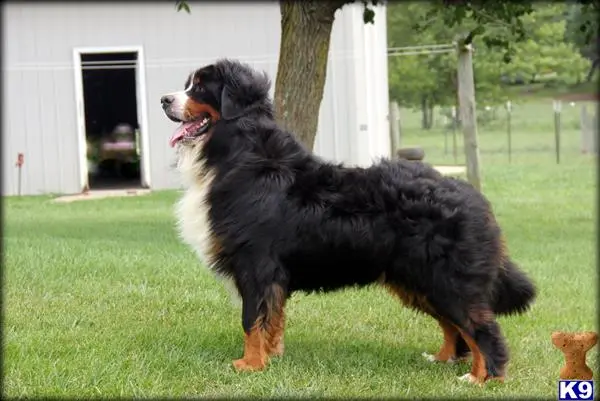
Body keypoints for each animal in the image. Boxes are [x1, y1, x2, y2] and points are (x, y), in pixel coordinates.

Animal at [159, 58, 536, 382]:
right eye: (188, 84)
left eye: (200, 87)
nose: (164, 99)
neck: (240, 153)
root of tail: (475, 198)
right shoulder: (272, 275)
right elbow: (273, 320)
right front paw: (272, 357)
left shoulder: (256, 264)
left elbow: (252, 320)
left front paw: (250, 364)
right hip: (420, 280)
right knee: (454, 327)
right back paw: (444, 360)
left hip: (446, 280)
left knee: (482, 328)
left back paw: (483, 377)